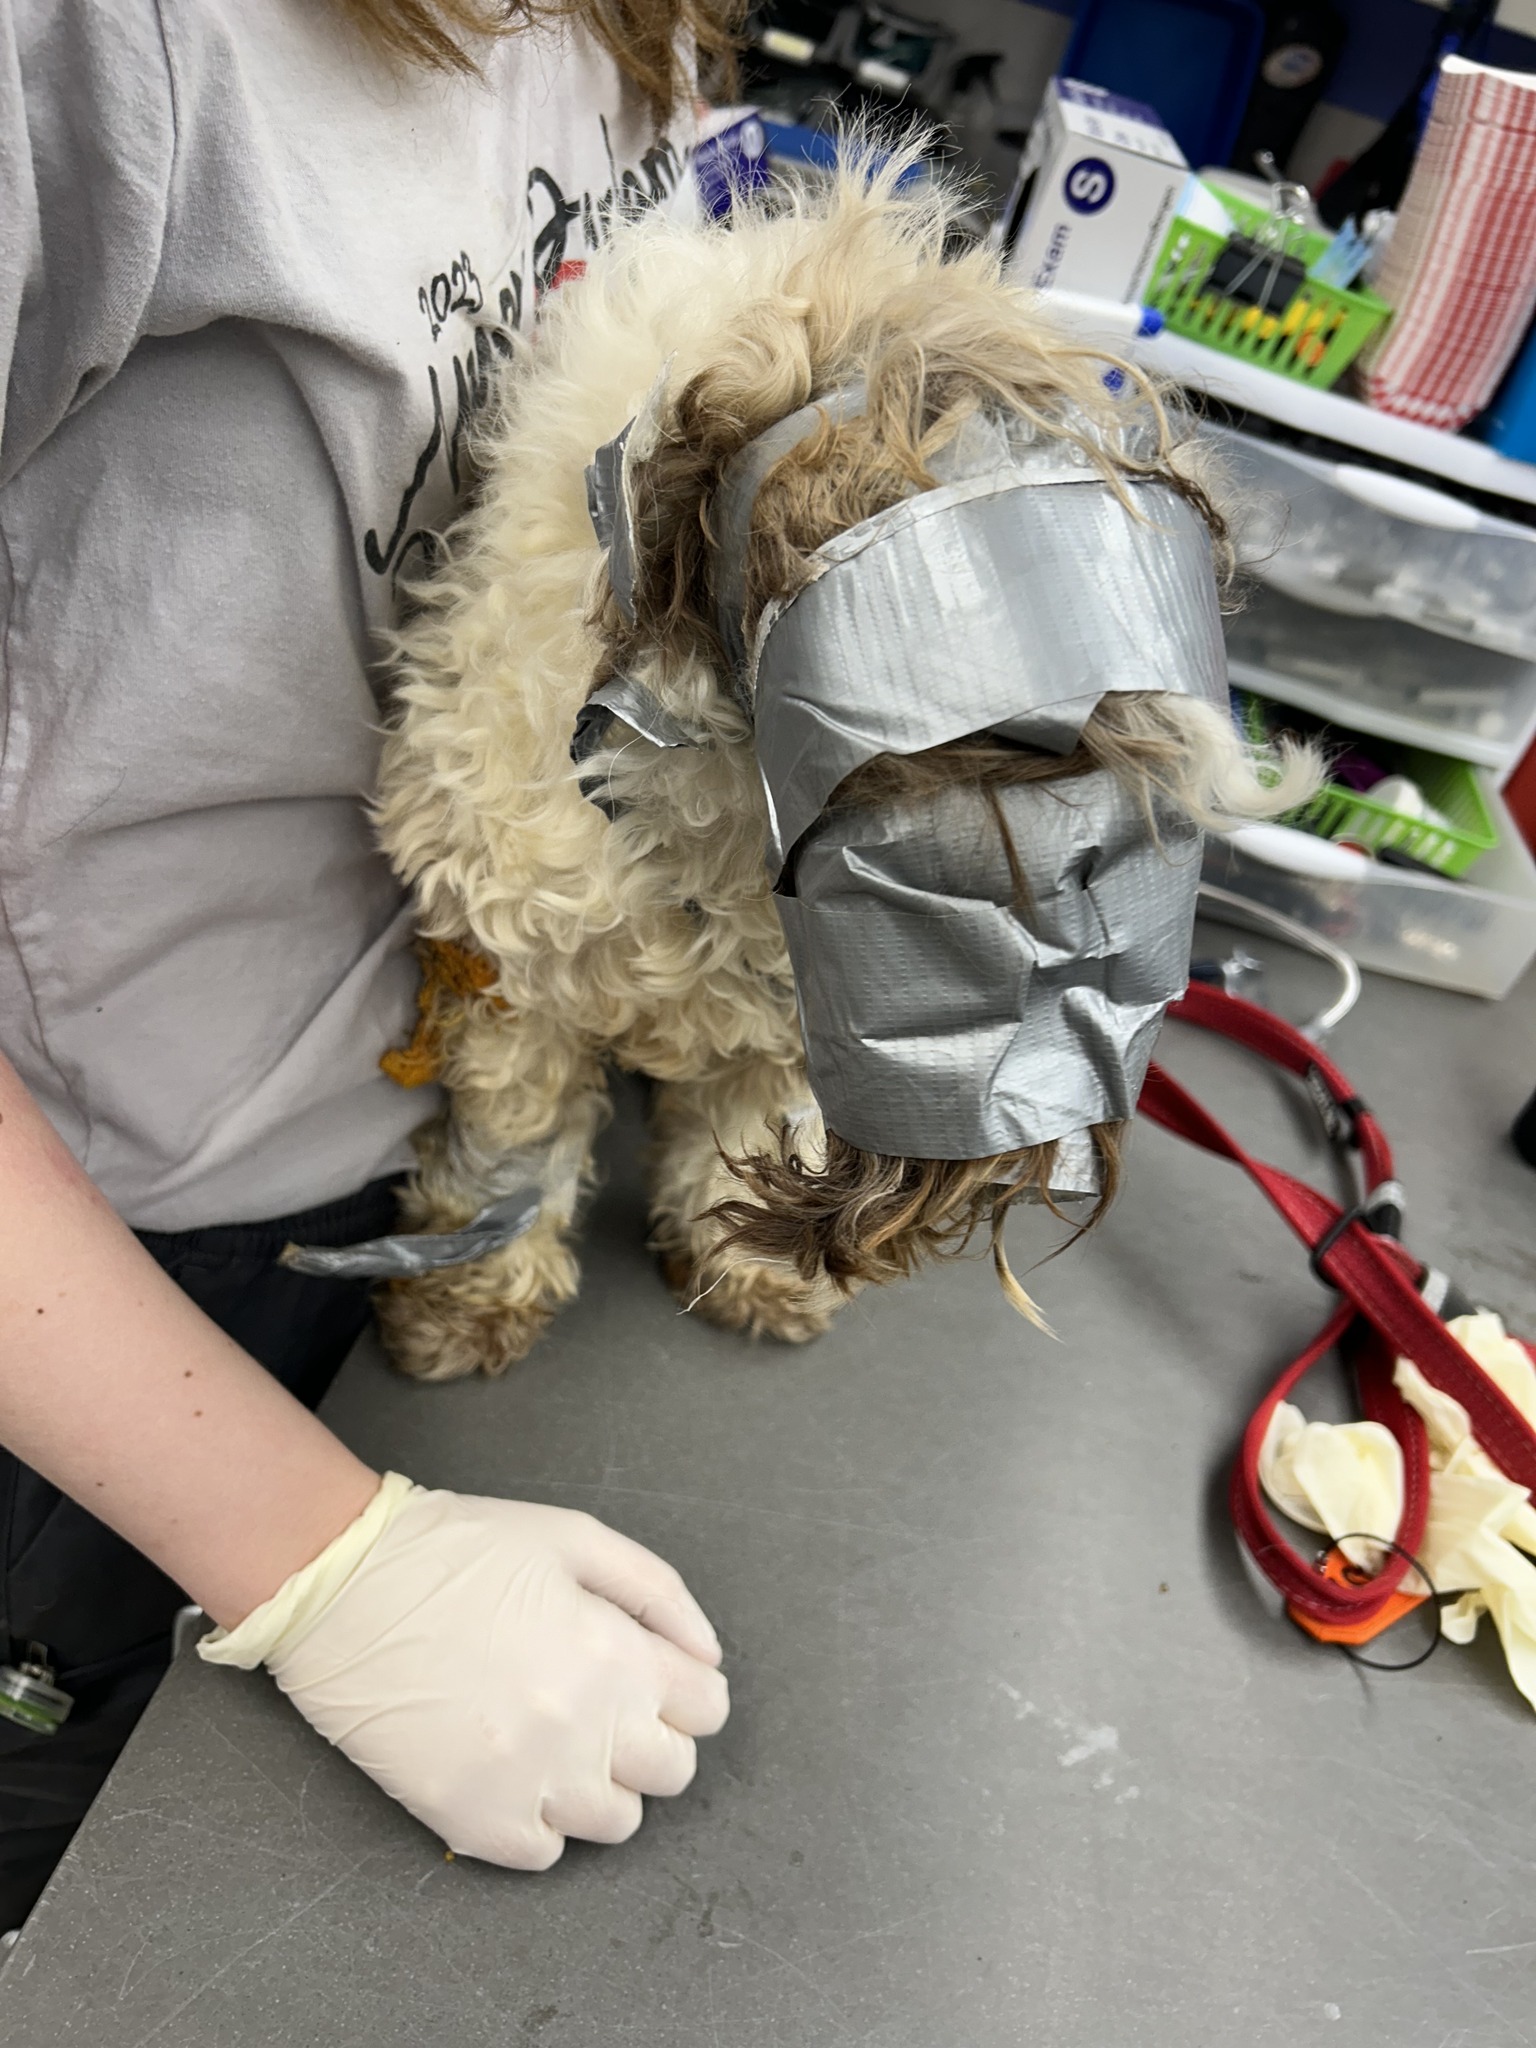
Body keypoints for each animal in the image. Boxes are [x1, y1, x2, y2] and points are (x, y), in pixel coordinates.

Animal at [370, 155, 1310, 1376]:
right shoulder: (509, 949)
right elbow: (516, 1135)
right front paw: (468, 1294)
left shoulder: (789, 1019)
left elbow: (746, 1123)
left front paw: (745, 1266)